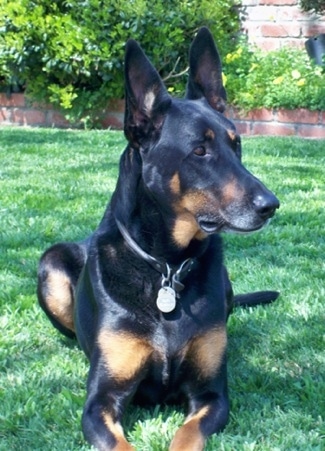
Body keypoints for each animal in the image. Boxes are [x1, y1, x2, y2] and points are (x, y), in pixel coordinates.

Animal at [36, 29, 278, 451]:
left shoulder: (211, 395)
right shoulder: (101, 400)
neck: (165, 266)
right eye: (199, 150)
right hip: (50, 263)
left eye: (237, 145)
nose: (271, 205)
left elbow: (187, 435)